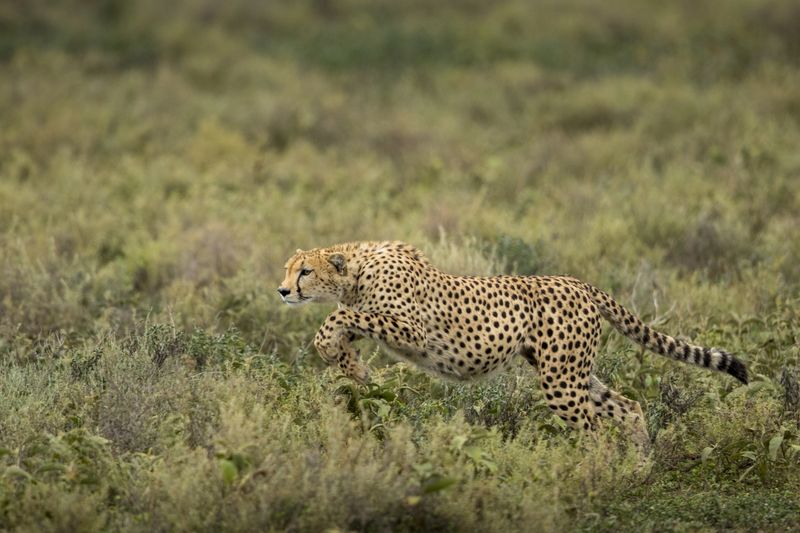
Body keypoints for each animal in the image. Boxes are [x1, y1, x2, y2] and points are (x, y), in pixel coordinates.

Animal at [278, 240, 748, 447]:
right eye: (287, 269)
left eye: (304, 271)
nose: (282, 291)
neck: (355, 269)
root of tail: (579, 282)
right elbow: (344, 327)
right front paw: (353, 367)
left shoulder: (411, 330)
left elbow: (337, 319)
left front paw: (342, 356)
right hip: (570, 371)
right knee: (628, 407)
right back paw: (639, 467)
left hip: (560, 381)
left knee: (594, 430)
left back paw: (593, 474)